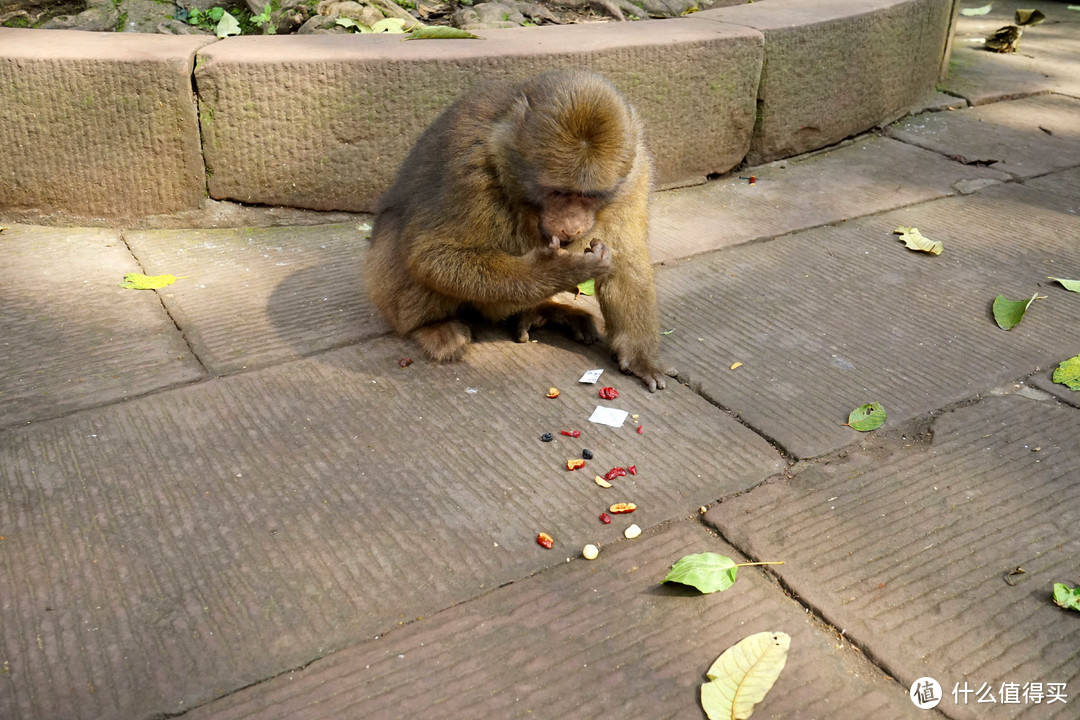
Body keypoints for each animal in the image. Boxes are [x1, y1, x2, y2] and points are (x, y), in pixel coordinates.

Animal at [367, 69, 678, 390]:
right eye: (558, 192)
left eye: (589, 195)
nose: (572, 226)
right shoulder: (468, 164)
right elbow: (430, 254)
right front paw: (556, 270)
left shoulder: (636, 172)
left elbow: (626, 258)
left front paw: (640, 356)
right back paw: (432, 326)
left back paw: (545, 310)